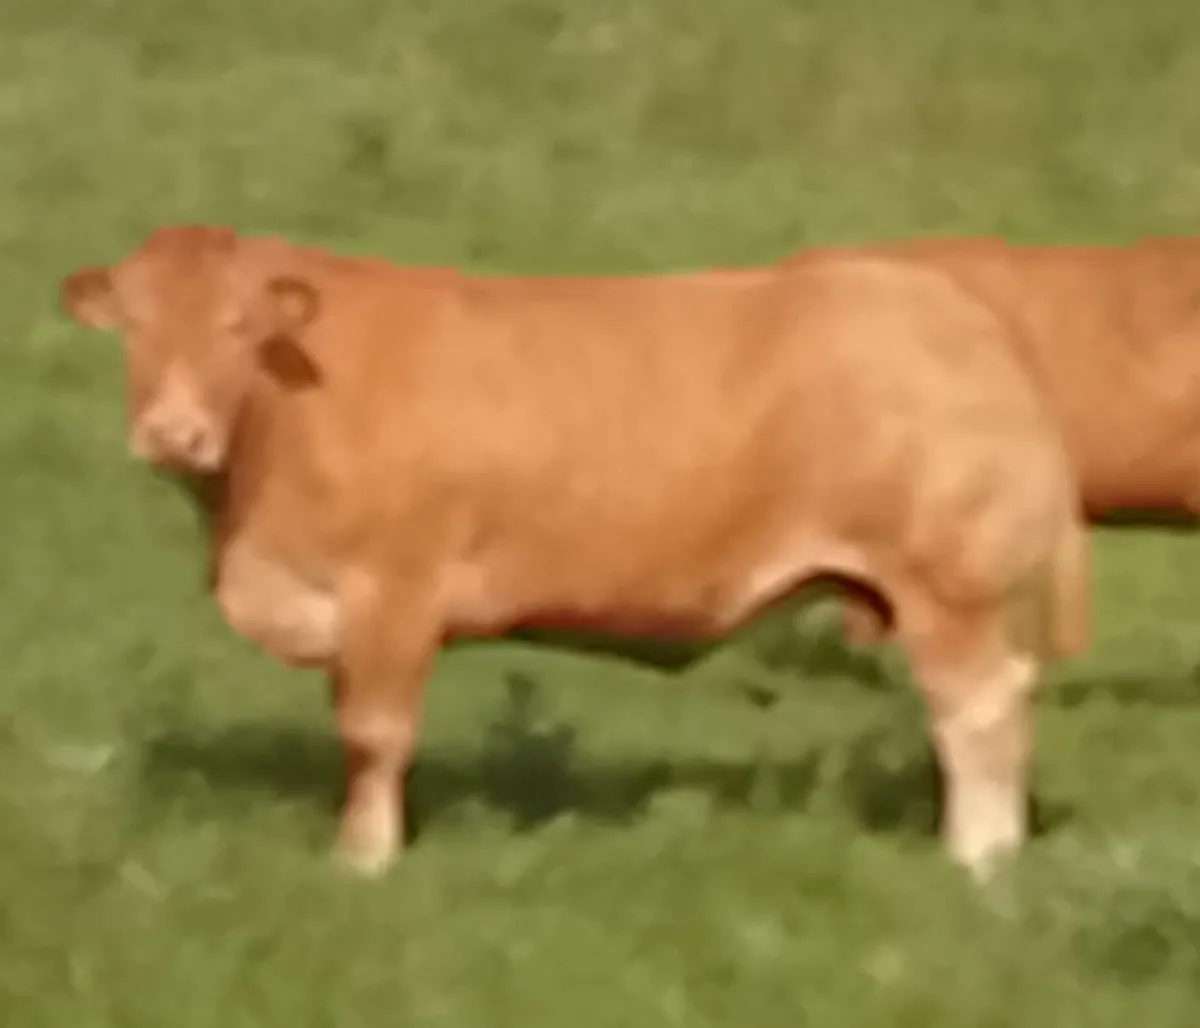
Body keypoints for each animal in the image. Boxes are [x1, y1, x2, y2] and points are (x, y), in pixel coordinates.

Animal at [60, 226, 1088, 883]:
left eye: (239, 326)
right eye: (134, 326)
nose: (174, 433)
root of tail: (943, 300)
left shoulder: (395, 591)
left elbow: (375, 735)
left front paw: (365, 862)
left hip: (949, 584)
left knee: (977, 712)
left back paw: (978, 858)